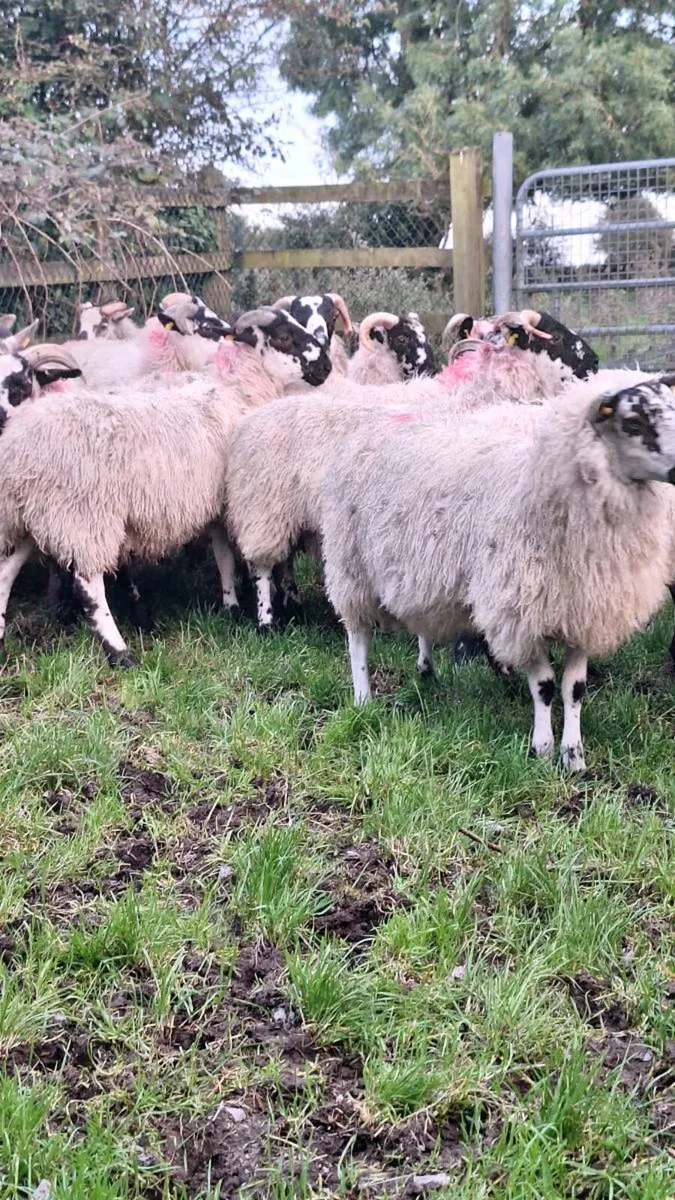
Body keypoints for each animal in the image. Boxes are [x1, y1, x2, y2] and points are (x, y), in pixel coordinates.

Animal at [0, 305, 331, 665]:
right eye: (283, 337)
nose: (326, 366)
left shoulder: (216, 500)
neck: (235, 387)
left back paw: (3, 637)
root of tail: (20, 445)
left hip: (30, 519)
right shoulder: (241, 497)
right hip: (83, 515)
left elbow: (223, 555)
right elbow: (239, 557)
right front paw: (251, 610)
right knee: (89, 585)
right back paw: (120, 651)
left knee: (5, 573)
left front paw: (230, 606)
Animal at [320, 370, 675, 770]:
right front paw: (542, 749)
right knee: (357, 638)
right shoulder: (520, 612)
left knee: (421, 624)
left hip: (418, 567)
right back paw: (363, 698)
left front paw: (574, 757)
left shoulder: (584, 612)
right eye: (633, 422)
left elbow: (575, 689)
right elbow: (545, 686)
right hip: (351, 566)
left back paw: (427, 671)